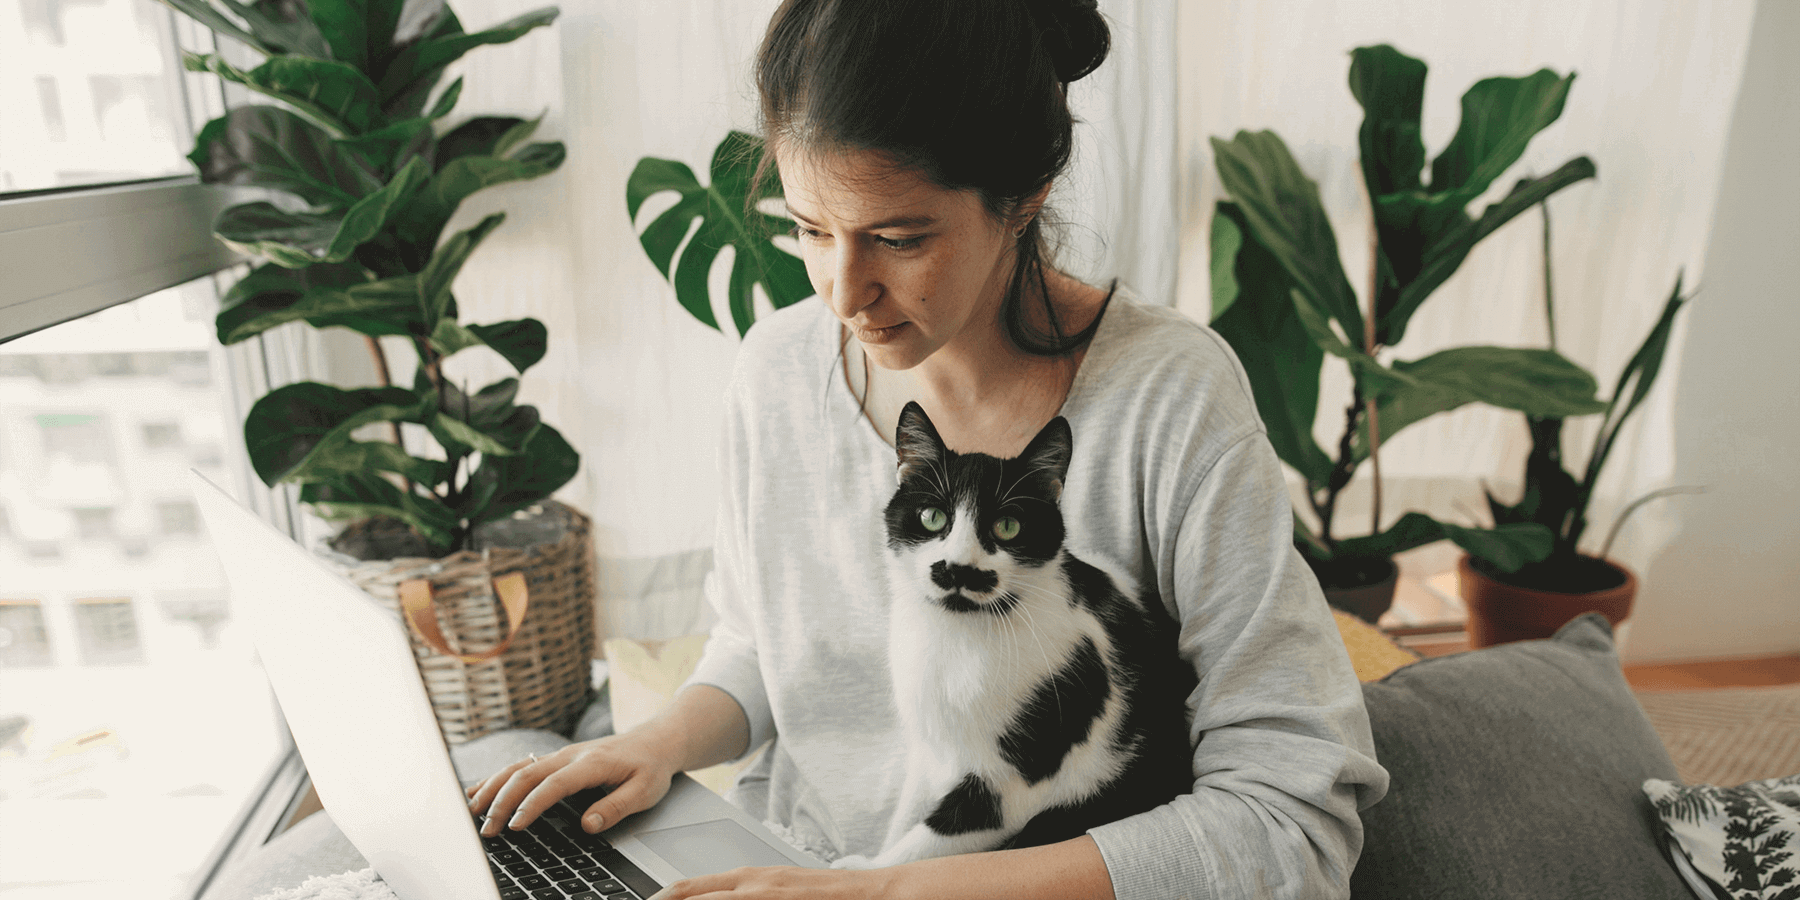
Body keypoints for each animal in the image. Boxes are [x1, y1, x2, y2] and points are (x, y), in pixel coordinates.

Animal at [835, 405, 1202, 867]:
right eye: (932, 517)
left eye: (1008, 526)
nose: (958, 568)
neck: (959, 641)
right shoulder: (928, 749)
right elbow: (908, 814)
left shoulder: (1012, 784)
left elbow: (925, 846)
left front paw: (857, 870)